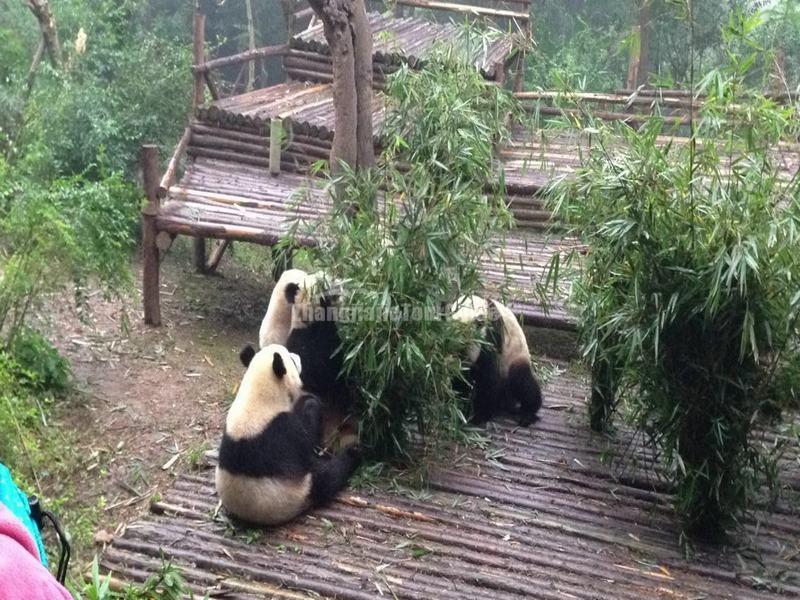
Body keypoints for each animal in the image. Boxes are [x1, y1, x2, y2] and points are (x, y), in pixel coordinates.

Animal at [216, 342, 360, 524]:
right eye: (290, 359)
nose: (298, 356)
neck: (258, 396)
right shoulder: (283, 432)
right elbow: (306, 439)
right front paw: (311, 404)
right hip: (300, 489)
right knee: (329, 477)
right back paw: (353, 454)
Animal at [450, 296, 544, 426]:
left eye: (464, 346)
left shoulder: (492, 335)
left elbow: (488, 375)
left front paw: (479, 415)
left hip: (514, 359)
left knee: (522, 381)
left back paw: (527, 414)